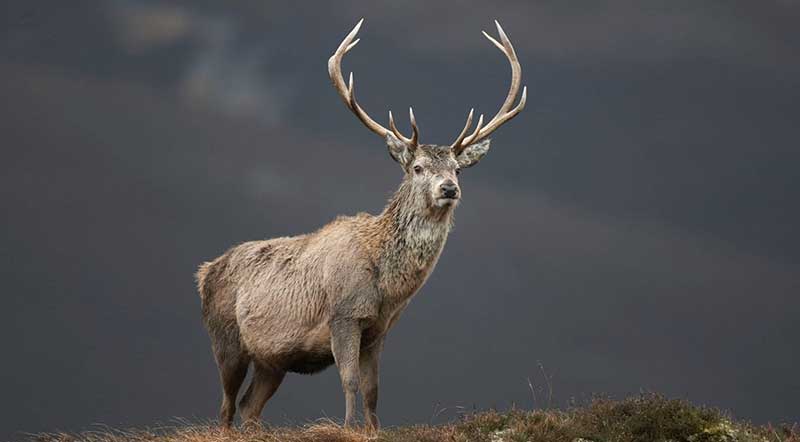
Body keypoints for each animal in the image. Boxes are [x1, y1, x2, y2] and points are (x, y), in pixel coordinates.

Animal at [196, 19, 526, 430]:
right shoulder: (344, 315)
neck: (387, 286)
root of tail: (204, 273)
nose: (449, 188)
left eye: (458, 169)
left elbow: (372, 390)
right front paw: (347, 427)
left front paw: (371, 429)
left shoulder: (378, 330)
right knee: (225, 405)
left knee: (248, 406)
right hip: (225, 338)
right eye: (418, 168)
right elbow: (350, 381)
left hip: (272, 360)